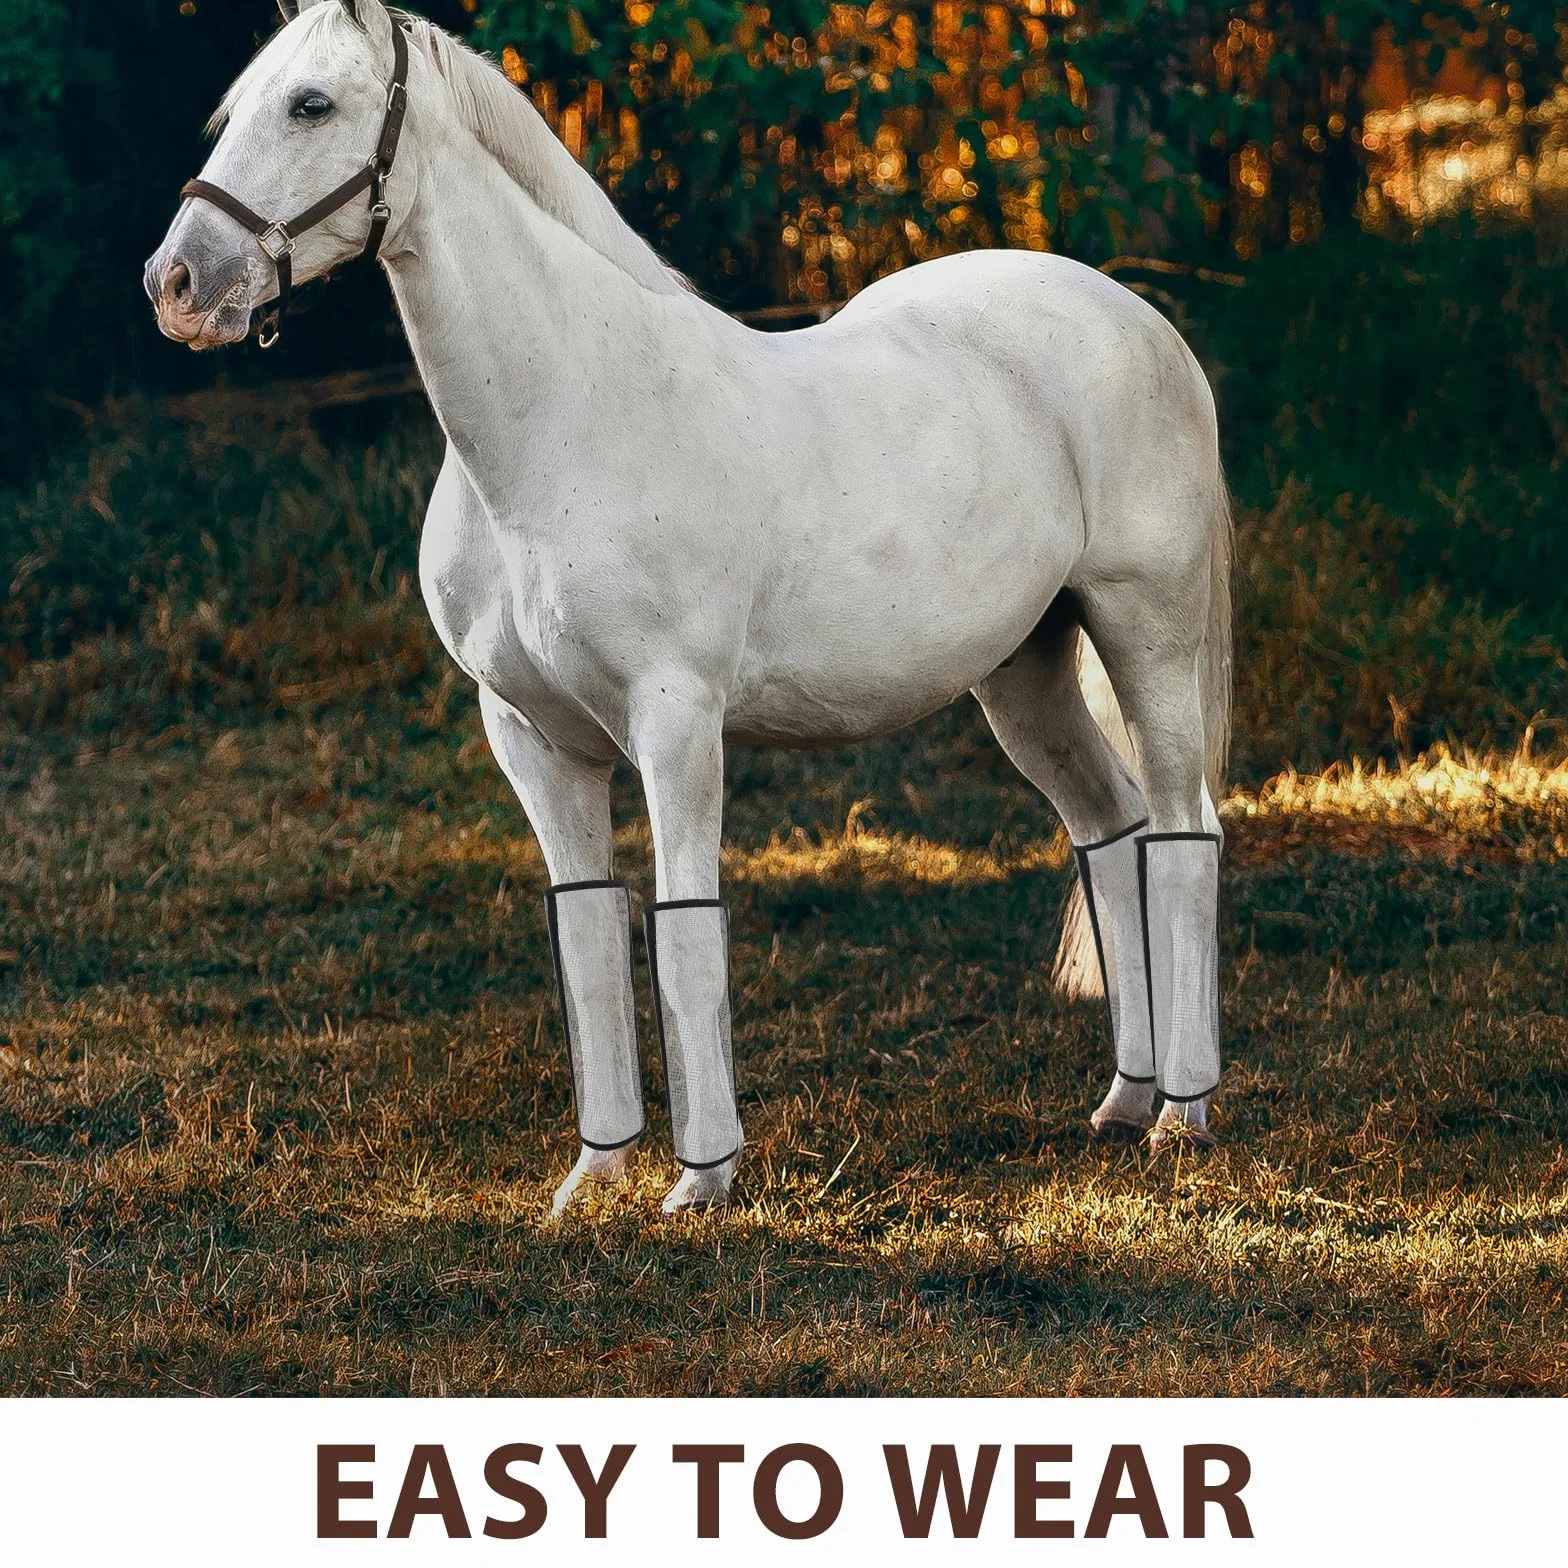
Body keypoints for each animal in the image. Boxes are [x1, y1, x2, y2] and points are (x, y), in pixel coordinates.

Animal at [145, 0, 1232, 1215]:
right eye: (233, 110)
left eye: (311, 105)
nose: (176, 284)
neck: (562, 423)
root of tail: (1137, 317)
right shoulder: (530, 736)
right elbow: (585, 928)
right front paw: (591, 1175)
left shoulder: (674, 719)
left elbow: (682, 926)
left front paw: (699, 1182)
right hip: (1024, 674)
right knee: (1111, 831)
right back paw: (1123, 1098)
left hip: (1146, 632)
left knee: (1184, 831)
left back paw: (1180, 1115)